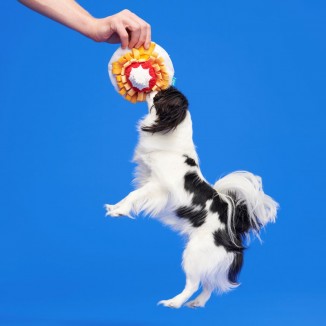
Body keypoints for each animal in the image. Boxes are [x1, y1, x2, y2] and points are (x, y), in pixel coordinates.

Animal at [105, 86, 278, 308]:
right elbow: (131, 195)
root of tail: (232, 229)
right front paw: (114, 207)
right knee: (209, 283)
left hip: (194, 253)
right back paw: (197, 303)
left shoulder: (157, 186)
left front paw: (119, 211)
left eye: (160, 94)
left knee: (194, 283)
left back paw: (174, 302)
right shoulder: (147, 176)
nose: (155, 86)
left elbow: (134, 194)